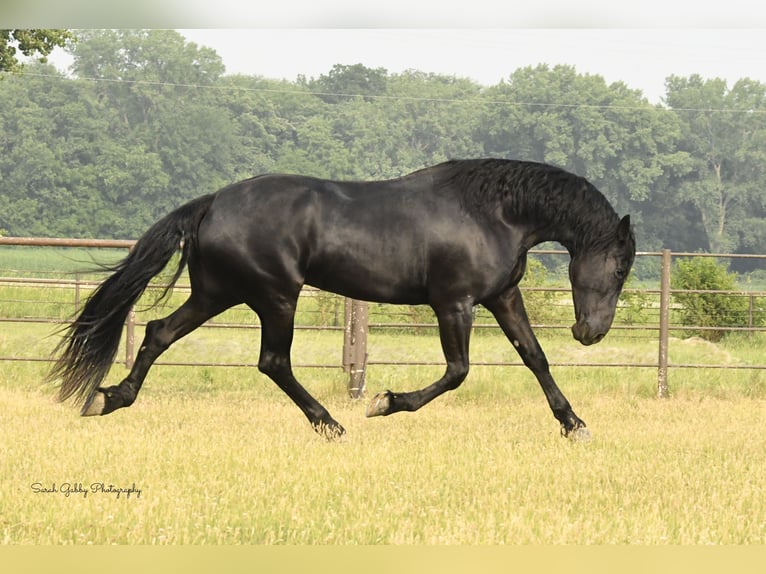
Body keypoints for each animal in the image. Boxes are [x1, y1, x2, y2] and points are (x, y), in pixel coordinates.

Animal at [49, 160, 636, 438]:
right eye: (620, 266)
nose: (590, 332)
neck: (491, 212)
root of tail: (212, 202)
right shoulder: (454, 302)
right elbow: (457, 372)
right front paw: (385, 402)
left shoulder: (502, 297)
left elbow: (535, 358)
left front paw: (574, 425)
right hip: (275, 297)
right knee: (273, 361)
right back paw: (332, 424)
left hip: (219, 293)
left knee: (158, 333)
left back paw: (109, 398)